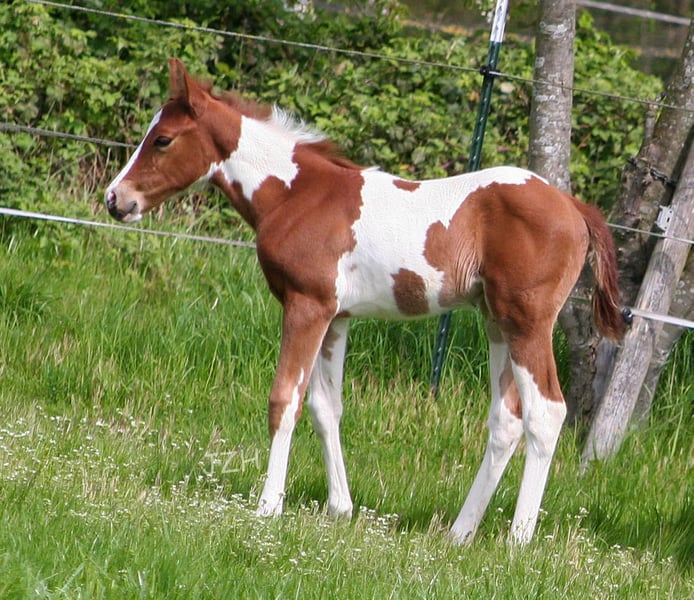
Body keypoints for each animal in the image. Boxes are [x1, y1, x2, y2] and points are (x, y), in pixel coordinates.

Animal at [105, 58, 626, 545]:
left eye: (163, 140)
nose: (115, 199)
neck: (297, 195)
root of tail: (575, 207)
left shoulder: (306, 305)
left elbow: (285, 399)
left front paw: (268, 507)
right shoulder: (336, 317)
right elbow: (325, 406)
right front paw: (340, 508)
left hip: (527, 321)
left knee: (546, 413)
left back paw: (518, 539)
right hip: (496, 321)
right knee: (506, 421)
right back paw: (459, 534)